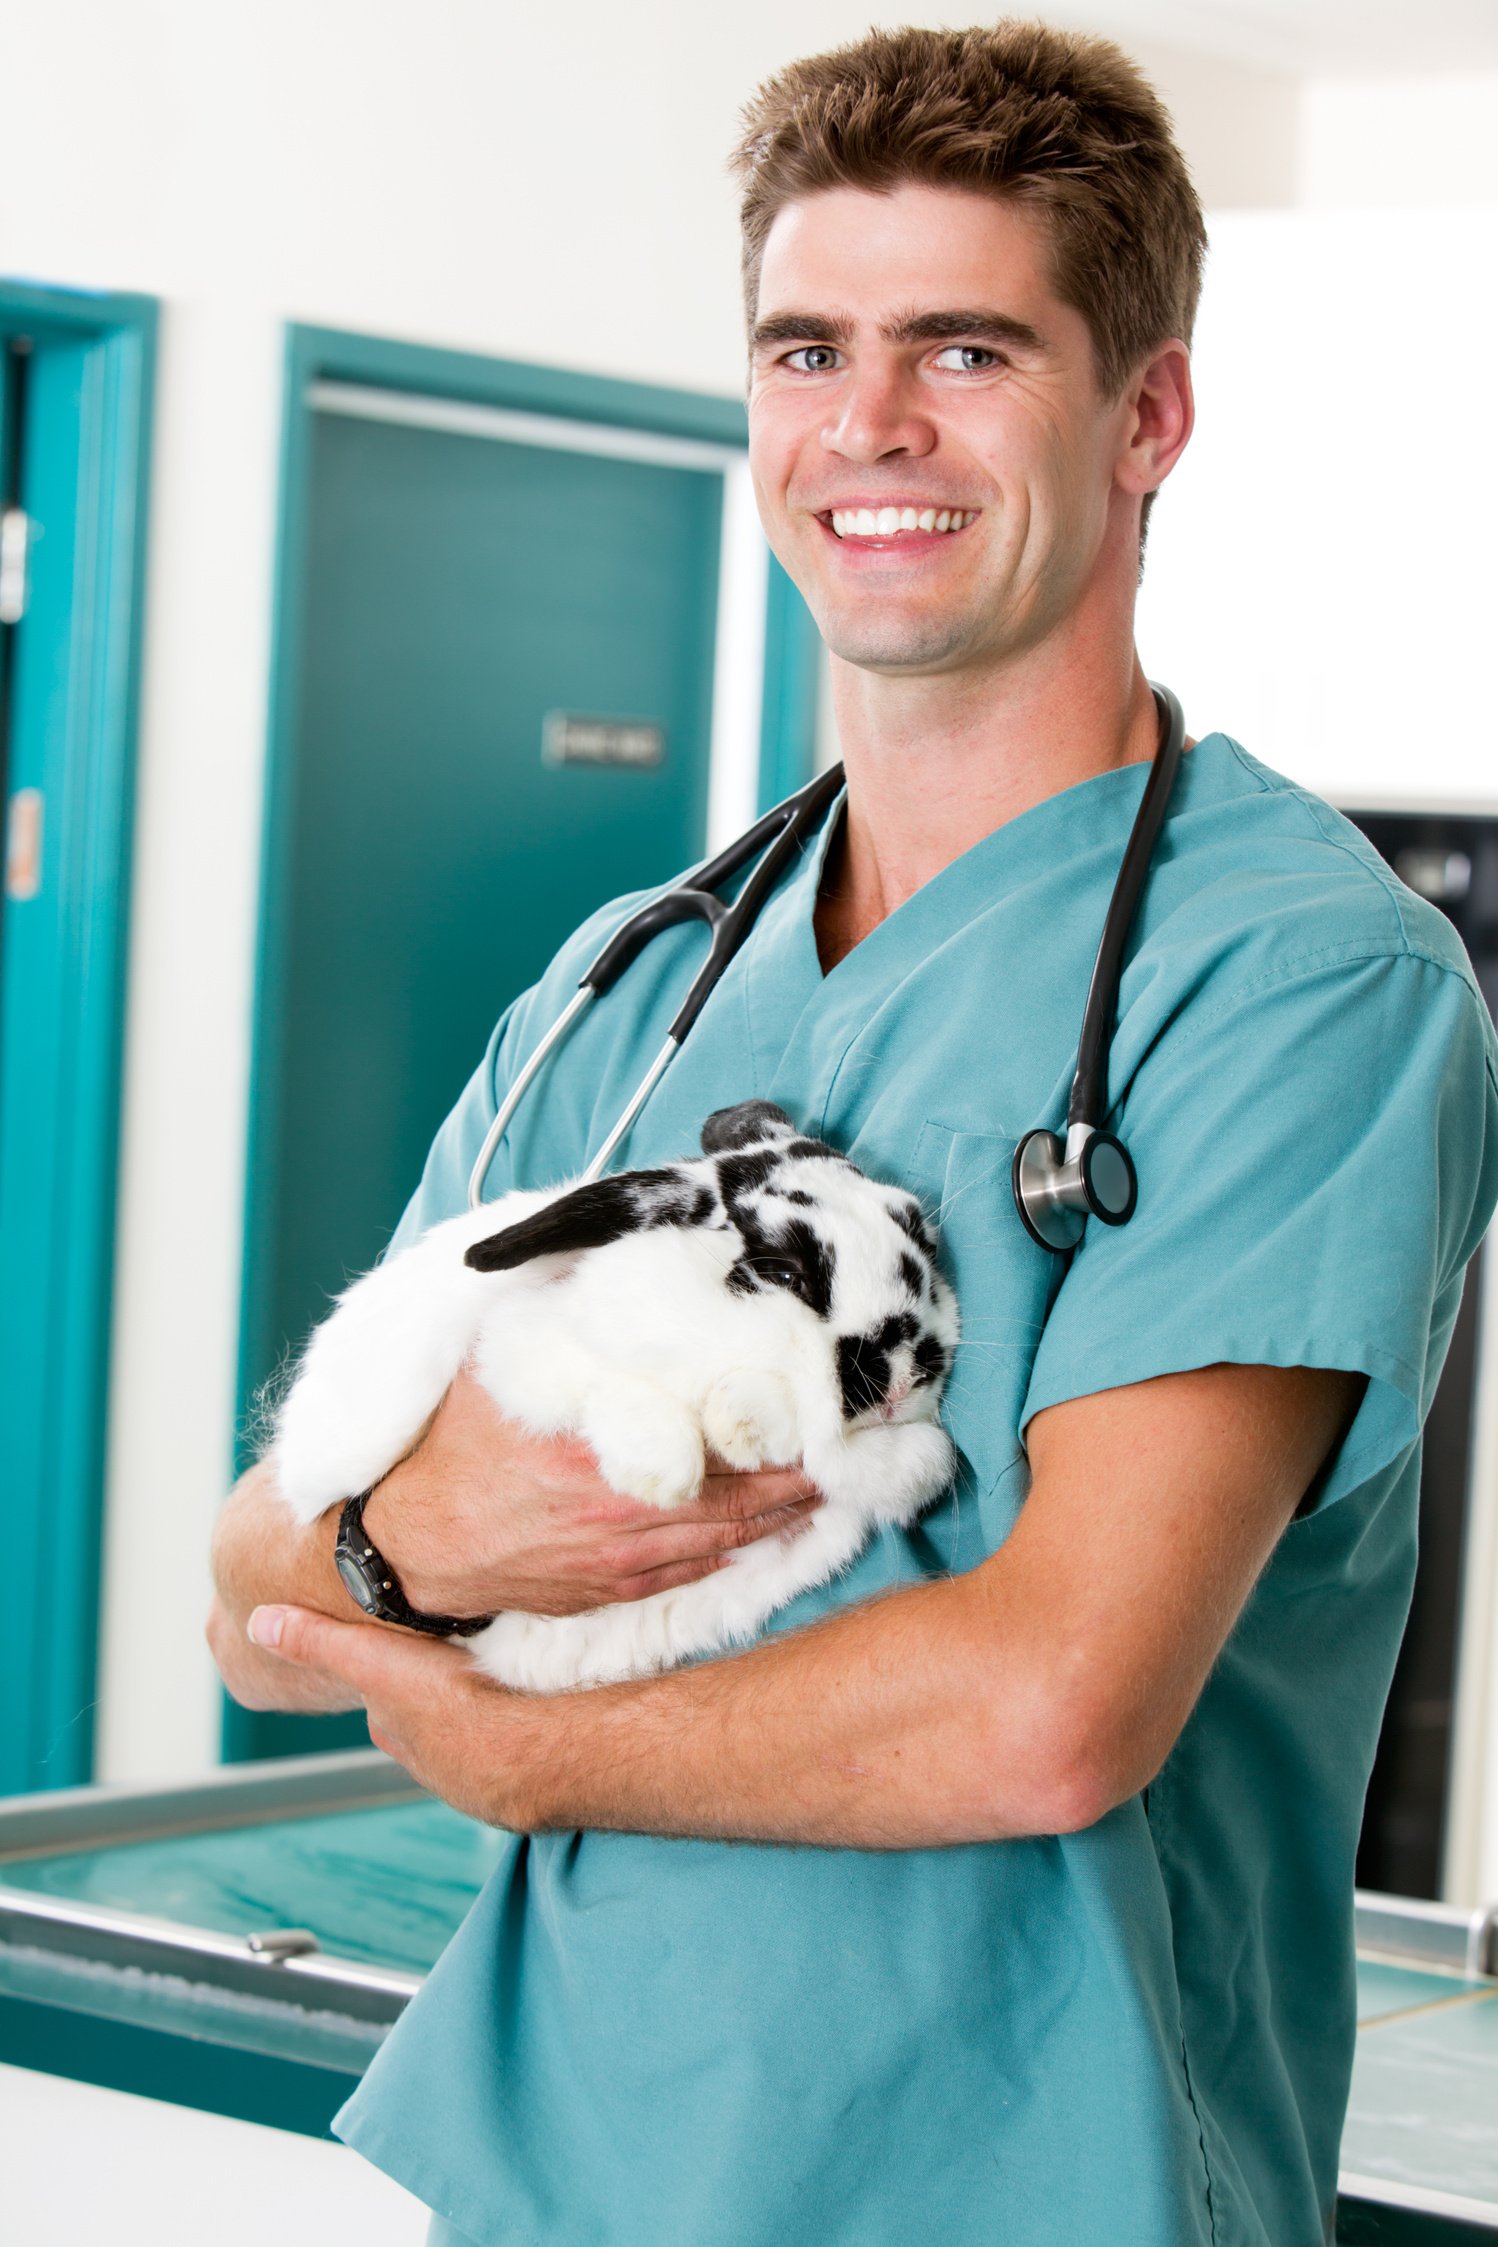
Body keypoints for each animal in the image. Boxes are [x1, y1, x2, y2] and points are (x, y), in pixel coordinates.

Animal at [273, 1096, 956, 1689]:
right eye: (785, 1273)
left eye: (921, 1238)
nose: (900, 1375)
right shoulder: (524, 1355)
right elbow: (614, 1390)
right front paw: (667, 1474)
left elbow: (910, 1463)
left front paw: (746, 1424)